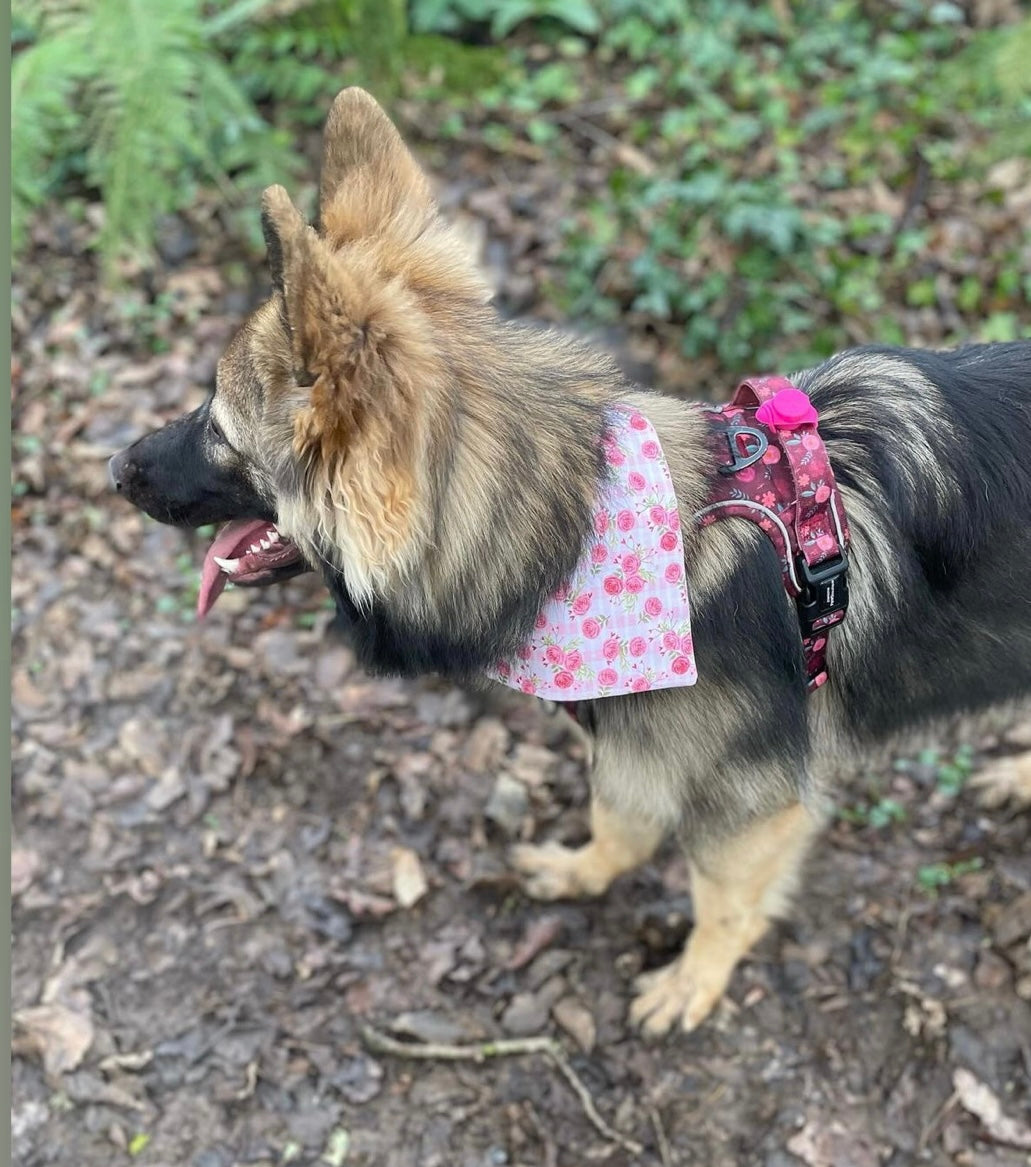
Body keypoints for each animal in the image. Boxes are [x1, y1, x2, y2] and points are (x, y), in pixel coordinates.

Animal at [110, 91, 1031, 1040]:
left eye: (218, 428)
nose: (115, 468)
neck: (585, 528)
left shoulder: (748, 806)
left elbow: (720, 898)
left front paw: (694, 979)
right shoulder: (631, 744)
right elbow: (617, 816)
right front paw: (583, 870)